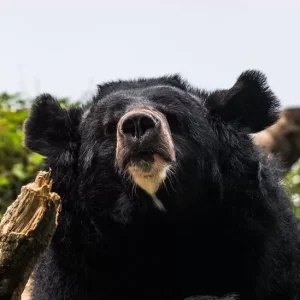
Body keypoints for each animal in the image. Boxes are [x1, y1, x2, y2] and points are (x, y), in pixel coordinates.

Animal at [23, 71, 300, 300]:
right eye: (109, 127)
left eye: (172, 117)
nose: (137, 123)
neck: (157, 221)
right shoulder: (76, 261)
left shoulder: (262, 240)